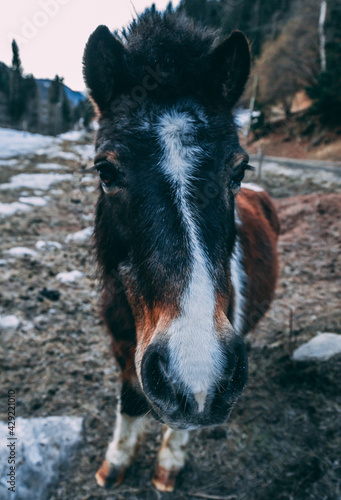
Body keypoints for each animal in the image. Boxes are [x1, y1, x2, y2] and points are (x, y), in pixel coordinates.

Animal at [83, 4, 278, 492]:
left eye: (237, 170)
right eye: (105, 170)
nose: (196, 371)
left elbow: (183, 425)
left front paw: (168, 467)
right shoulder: (122, 347)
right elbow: (131, 400)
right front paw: (114, 464)